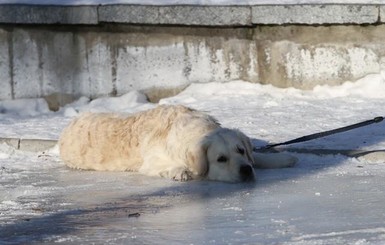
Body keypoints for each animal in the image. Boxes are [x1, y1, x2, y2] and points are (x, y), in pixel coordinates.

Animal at [58, 104, 296, 183]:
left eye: (240, 151)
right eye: (221, 159)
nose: (246, 171)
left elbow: (259, 156)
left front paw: (284, 157)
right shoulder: (151, 162)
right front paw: (179, 171)